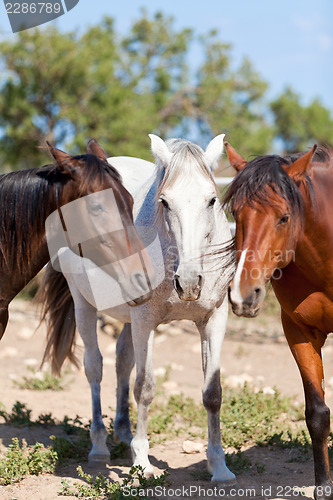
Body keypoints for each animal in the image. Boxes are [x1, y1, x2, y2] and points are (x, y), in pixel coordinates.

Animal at [40, 135, 235, 486]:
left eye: (212, 200)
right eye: (164, 202)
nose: (188, 282)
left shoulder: (214, 320)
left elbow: (212, 391)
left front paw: (219, 466)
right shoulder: (146, 321)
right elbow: (144, 388)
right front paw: (142, 463)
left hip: (128, 320)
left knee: (122, 362)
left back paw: (124, 433)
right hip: (85, 306)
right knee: (95, 367)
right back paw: (100, 446)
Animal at [222, 143, 332, 498]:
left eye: (284, 217)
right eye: (235, 214)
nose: (243, 295)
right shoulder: (299, 332)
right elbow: (317, 414)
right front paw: (323, 486)